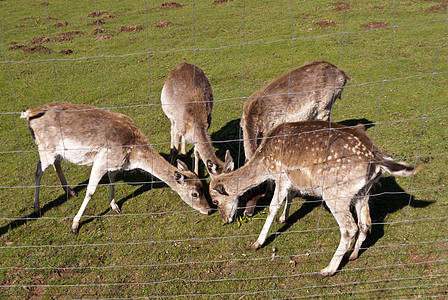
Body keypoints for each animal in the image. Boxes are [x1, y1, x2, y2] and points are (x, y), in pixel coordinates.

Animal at [20, 102, 210, 233]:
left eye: (204, 187)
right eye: (194, 193)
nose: (208, 209)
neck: (132, 154)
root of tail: (29, 114)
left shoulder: (113, 164)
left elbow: (112, 179)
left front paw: (114, 206)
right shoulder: (101, 161)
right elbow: (90, 191)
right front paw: (74, 225)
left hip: (56, 151)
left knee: (56, 163)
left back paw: (70, 191)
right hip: (45, 148)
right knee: (38, 170)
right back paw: (37, 208)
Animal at [208, 120, 422, 278]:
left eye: (216, 201)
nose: (225, 220)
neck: (264, 163)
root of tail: (377, 160)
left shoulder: (281, 176)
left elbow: (272, 207)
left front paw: (257, 243)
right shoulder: (292, 180)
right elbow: (290, 197)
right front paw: (284, 218)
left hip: (335, 192)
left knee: (349, 227)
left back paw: (327, 270)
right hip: (363, 191)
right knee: (365, 222)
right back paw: (353, 255)